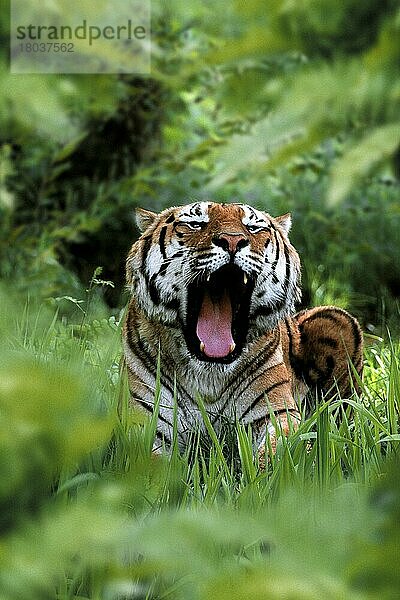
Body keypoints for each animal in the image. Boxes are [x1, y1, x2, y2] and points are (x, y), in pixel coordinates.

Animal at [123, 199, 364, 462]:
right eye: (196, 224)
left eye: (253, 228)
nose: (232, 240)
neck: (209, 375)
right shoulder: (146, 423)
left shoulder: (276, 414)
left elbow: (276, 456)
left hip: (336, 318)